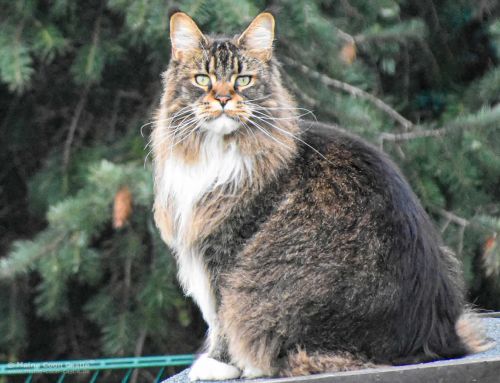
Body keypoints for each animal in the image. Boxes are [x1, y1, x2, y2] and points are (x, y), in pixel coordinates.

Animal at [151, 11, 488, 380]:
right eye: (202, 79)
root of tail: (432, 337)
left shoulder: (227, 252)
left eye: (242, 80)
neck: (218, 151)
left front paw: (219, 364)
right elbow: (215, 318)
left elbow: (221, 316)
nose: (224, 99)